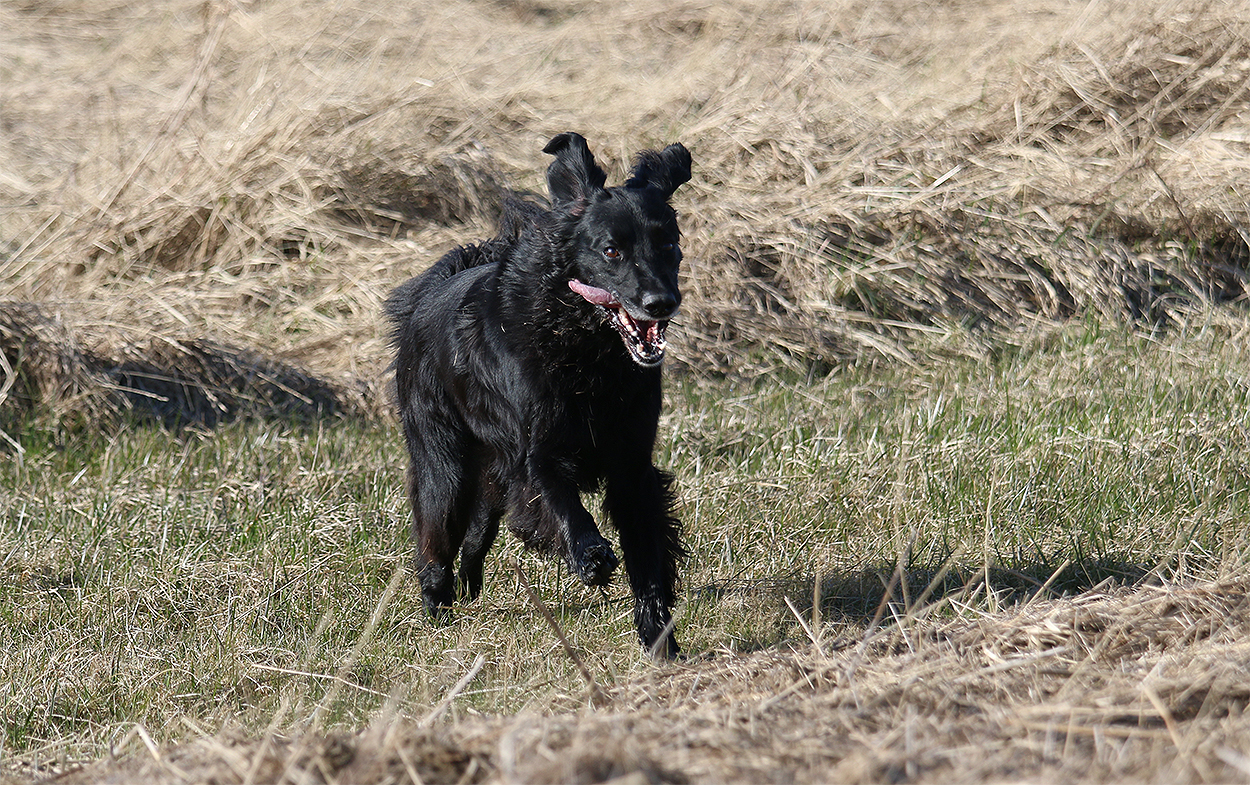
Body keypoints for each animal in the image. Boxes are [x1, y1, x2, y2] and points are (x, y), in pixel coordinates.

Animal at [384, 132, 692, 658]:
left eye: (669, 244)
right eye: (611, 251)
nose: (660, 303)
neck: (586, 350)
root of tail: (431, 290)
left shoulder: (631, 464)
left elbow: (648, 556)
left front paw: (659, 640)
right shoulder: (536, 452)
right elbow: (559, 503)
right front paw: (591, 556)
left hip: (487, 469)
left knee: (478, 528)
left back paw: (467, 583)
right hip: (444, 459)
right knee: (436, 529)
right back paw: (437, 605)